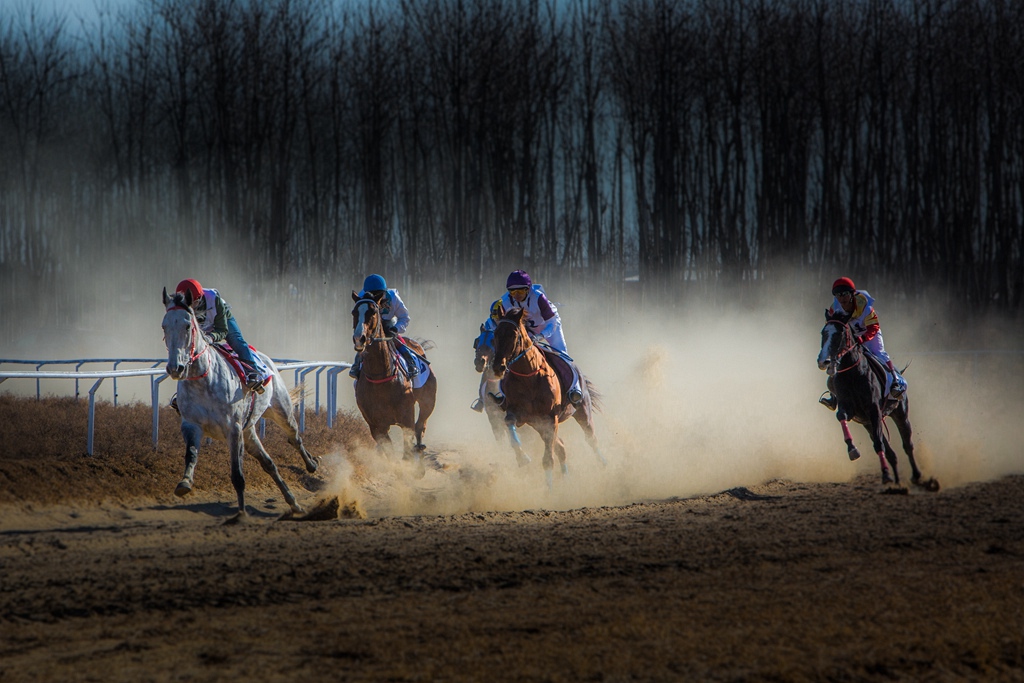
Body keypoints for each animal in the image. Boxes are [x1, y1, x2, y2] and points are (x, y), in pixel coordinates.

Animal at [161, 286, 319, 520]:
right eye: (164, 325)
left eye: (188, 325)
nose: (175, 368)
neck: (203, 381)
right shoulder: (192, 424)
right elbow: (191, 454)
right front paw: (185, 483)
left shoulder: (233, 429)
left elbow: (237, 474)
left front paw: (242, 513)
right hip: (249, 431)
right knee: (269, 464)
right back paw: (294, 503)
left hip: (280, 410)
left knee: (295, 437)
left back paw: (311, 464)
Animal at [352, 290, 436, 466]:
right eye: (354, 312)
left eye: (373, 312)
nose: (359, 338)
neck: (381, 377)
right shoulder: (376, 425)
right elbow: (389, 452)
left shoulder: (406, 418)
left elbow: (408, 446)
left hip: (428, 401)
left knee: (420, 426)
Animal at [491, 307, 602, 483]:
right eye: (495, 333)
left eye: (513, 335)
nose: (498, 367)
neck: (529, 377)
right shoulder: (520, 414)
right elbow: (509, 422)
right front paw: (522, 457)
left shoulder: (550, 418)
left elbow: (548, 460)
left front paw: (548, 488)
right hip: (538, 424)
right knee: (561, 447)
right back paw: (566, 478)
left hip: (582, 411)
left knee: (591, 438)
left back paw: (604, 467)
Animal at [815, 309, 937, 491]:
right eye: (823, 333)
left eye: (840, 333)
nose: (824, 361)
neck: (853, 375)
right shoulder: (851, 409)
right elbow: (841, 416)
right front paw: (852, 450)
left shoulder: (874, 411)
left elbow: (880, 444)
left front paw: (885, 474)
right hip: (868, 424)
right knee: (891, 453)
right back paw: (897, 482)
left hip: (900, 414)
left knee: (907, 445)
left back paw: (916, 476)